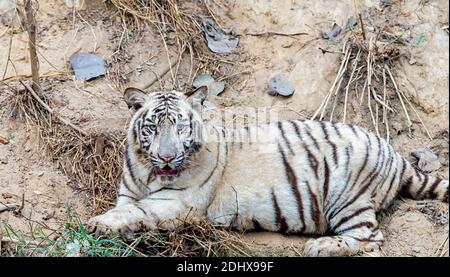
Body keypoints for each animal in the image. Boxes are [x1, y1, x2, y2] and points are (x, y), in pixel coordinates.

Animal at [86, 87, 448, 256]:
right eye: (152, 127)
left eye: (180, 128)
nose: (166, 157)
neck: (149, 173)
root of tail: (396, 155)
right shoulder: (128, 192)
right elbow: (128, 208)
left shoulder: (177, 203)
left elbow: (136, 210)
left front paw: (97, 224)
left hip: (348, 196)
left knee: (371, 238)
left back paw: (320, 247)